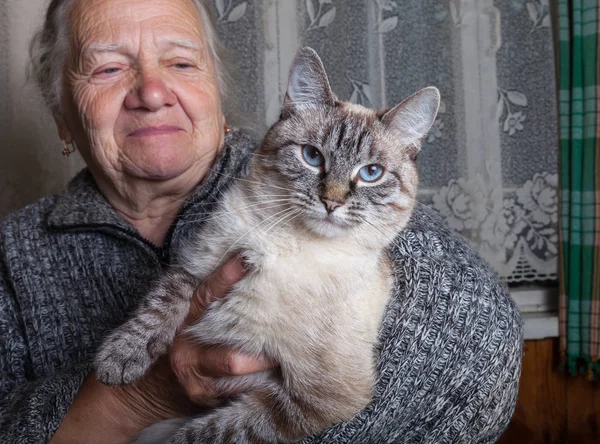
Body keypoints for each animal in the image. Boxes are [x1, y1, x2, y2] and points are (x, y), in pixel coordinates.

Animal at [95, 46, 440, 442]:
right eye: (312, 156)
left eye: (371, 174)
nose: (331, 202)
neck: (293, 242)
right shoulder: (198, 265)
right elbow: (162, 302)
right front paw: (120, 358)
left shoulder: (315, 400)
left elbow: (210, 433)